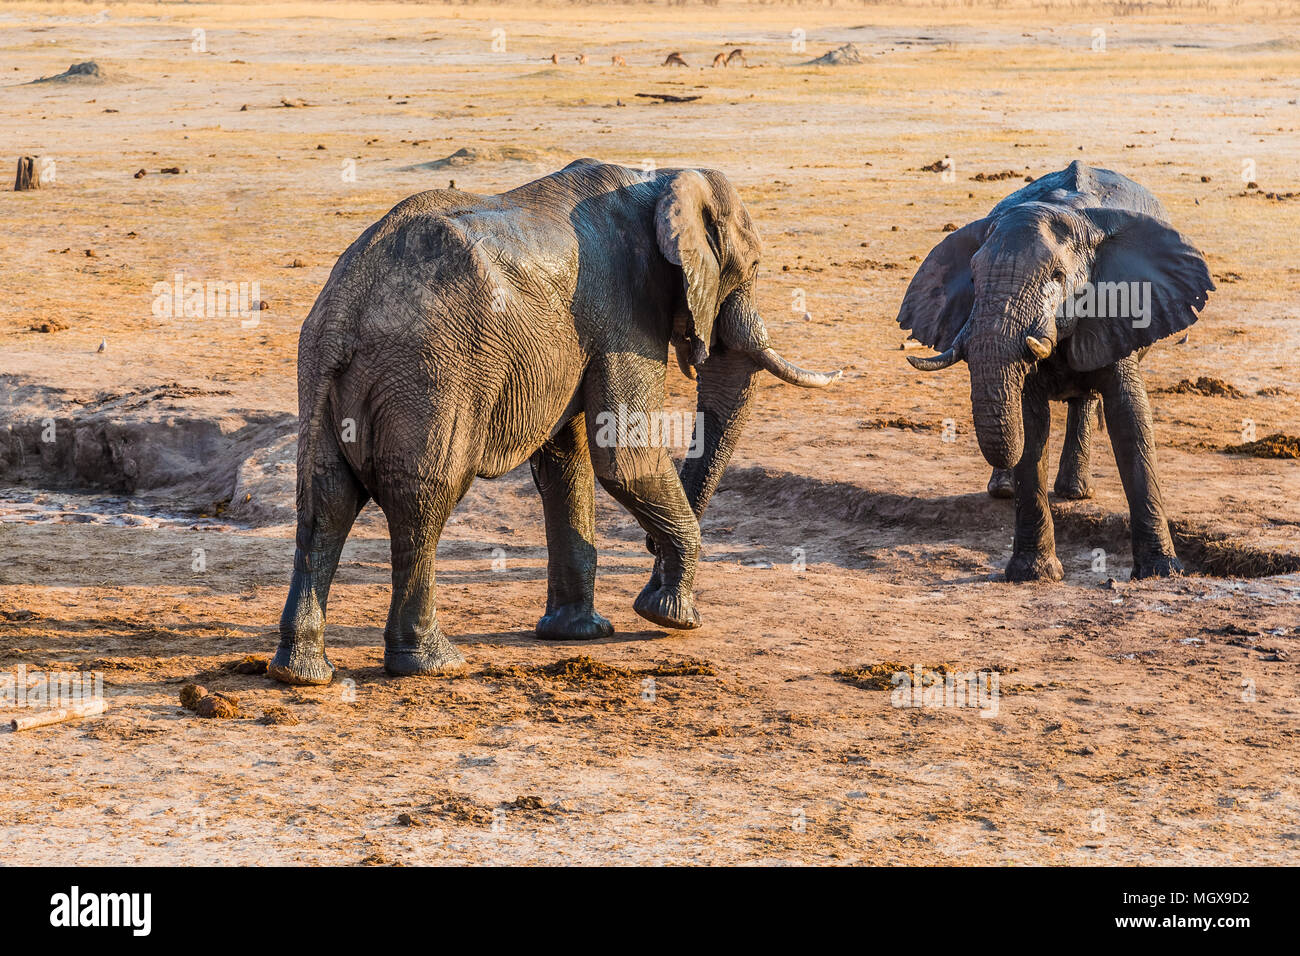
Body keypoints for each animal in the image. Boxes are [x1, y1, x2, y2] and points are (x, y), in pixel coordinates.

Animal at [271, 157, 842, 686]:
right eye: (752, 266)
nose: (651, 562)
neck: (660, 179)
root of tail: (344, 309)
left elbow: (567, 461)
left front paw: (581, 634)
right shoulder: (624, 312)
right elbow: (625, 460)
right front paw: (672, 618)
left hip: (321, 369)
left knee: (324, 501)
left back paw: (300, 673)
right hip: (430, 372)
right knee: (424, 499)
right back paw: (434, 664)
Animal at [899, 162, 1211, 582]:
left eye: (1058, 277)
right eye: (974, 278)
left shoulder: (1120, 307)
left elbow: (1130, 419)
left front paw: (1161, 572)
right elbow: (1031, 424)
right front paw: (1033, 574)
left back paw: (1074, 492)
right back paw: (1006, 489)